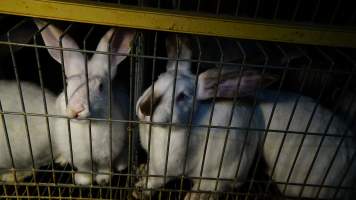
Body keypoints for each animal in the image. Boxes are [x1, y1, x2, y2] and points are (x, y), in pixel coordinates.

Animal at [35, 19, 135, 185]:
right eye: (67, 84)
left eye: (101, 86)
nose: (76, 109)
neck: (86, 128)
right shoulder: (80, 158)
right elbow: (85, 169)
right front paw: (83, 181)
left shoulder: (106, 155)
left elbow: (103, 167)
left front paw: (103, 180)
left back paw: (121, 165)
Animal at [134, 35, 276, 199]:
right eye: (158, 77)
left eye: (182, 96)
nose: (144, 108)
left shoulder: (164, 169)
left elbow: (153, 182)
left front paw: (139, 190)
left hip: (216, 178)